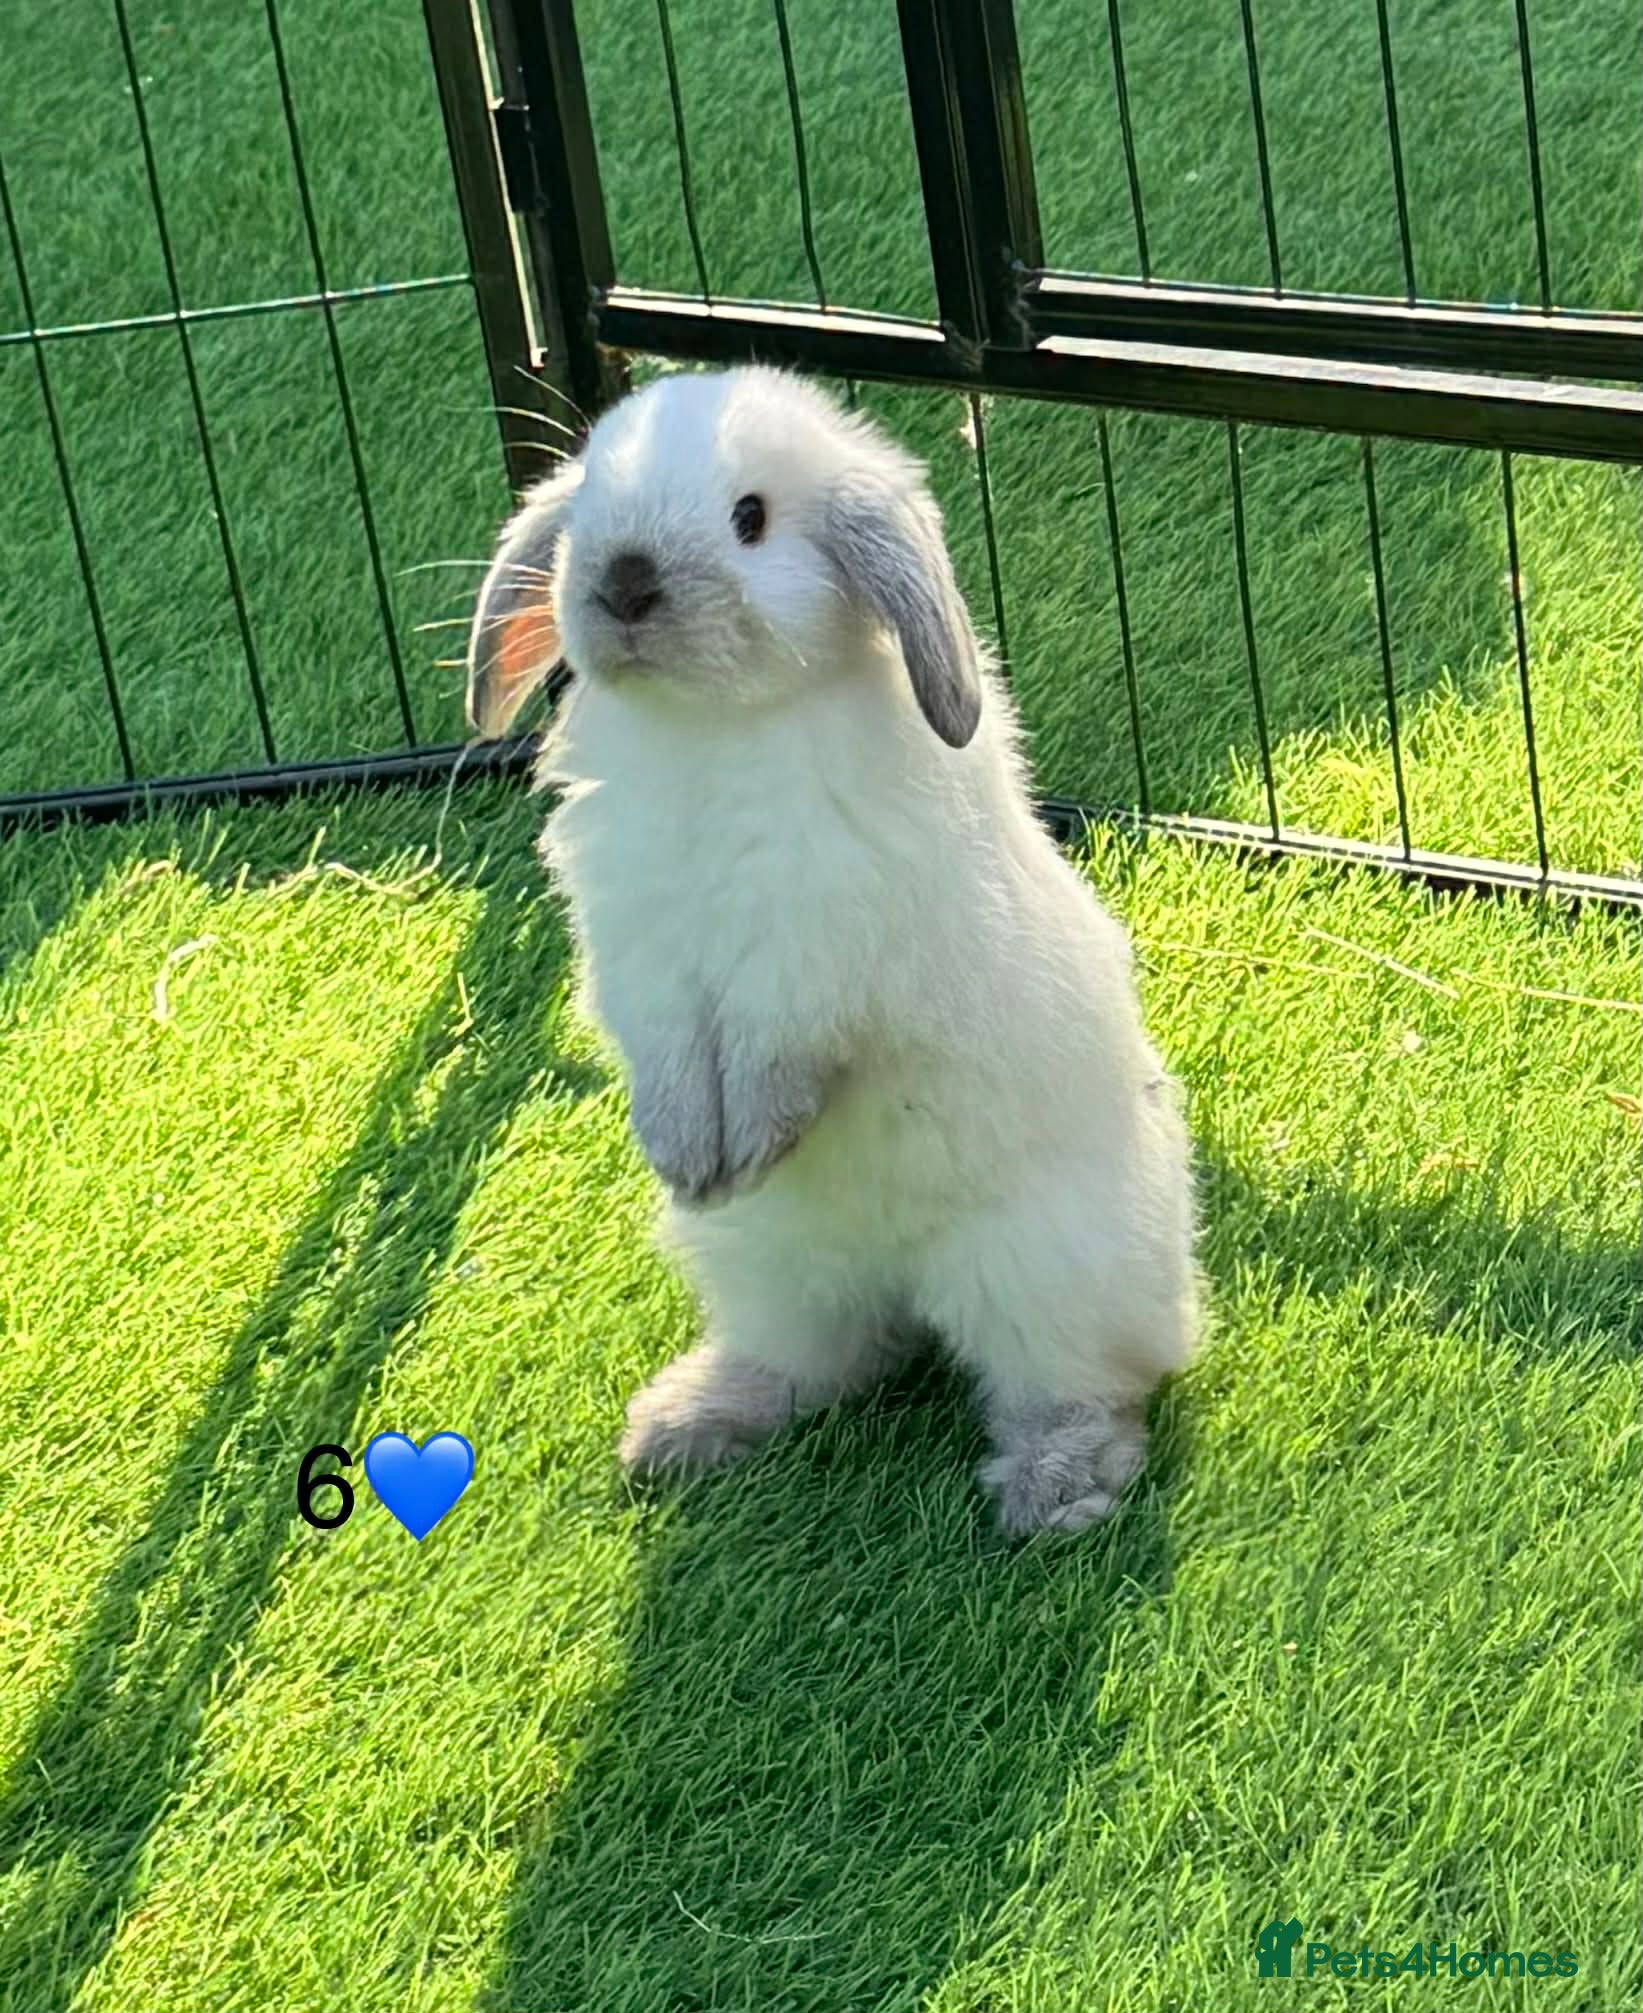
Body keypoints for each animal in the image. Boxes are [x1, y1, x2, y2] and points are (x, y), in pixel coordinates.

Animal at [465, 364, 1199, 1534]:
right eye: (586, 507)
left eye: (750, 519)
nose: (622, 583)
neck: (714, 730)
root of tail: (897, 1278)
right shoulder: (643, 965)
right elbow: (669, 1061)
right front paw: (691, 1158)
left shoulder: (812, 958)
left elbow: (779, 1053)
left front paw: (751, 1143)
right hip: (765, 1266)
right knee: (827, 1359)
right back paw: (687, 1424)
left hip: (1044, 1270)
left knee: (1079, 1384)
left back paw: (1053, 1489)